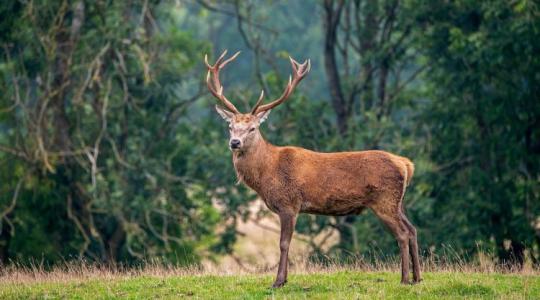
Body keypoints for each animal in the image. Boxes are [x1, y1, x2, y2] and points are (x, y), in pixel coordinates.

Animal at [205, 50, 420, 288]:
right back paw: (418, 277)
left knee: (402, 233)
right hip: (397, 202)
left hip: (384, 200)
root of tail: (406, 164)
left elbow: (284, 243)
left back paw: (404, 279)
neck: (266, 174)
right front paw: (284, 279)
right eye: (230, 126)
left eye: (252, 128)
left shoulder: (289, 204)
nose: (234, 142)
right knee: (412, 229)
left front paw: (278, 281)